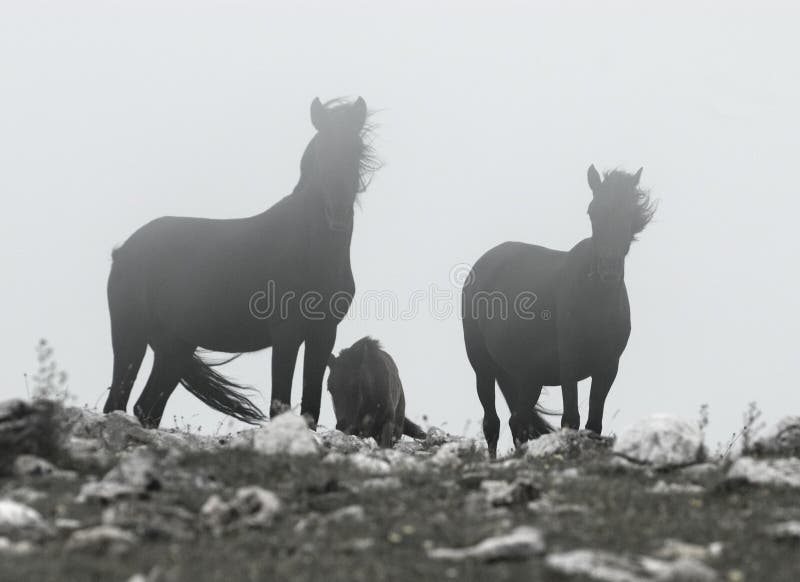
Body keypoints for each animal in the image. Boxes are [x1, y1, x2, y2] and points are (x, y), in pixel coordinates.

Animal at [102, 97, 378, 428]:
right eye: (322, 150)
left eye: (357, 149)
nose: (338, 213)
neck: (312, 251)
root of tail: (122, 251)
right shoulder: (286, 335)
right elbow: (280, 405)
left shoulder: (323, 334)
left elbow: (311, 407)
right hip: (131, 338)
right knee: (116, 402)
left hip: (174, 348)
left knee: (146, 408)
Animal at [462, 167, 656, 458]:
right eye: (592, 211)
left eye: (629, 213)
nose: (609, 267)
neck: (596, 301)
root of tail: (482, 264)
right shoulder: (569, 366)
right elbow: (571, 420)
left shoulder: (608, 368)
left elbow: (594, 423)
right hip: (483, 367)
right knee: (492, 423)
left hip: (526, 377)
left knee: (518, 421)